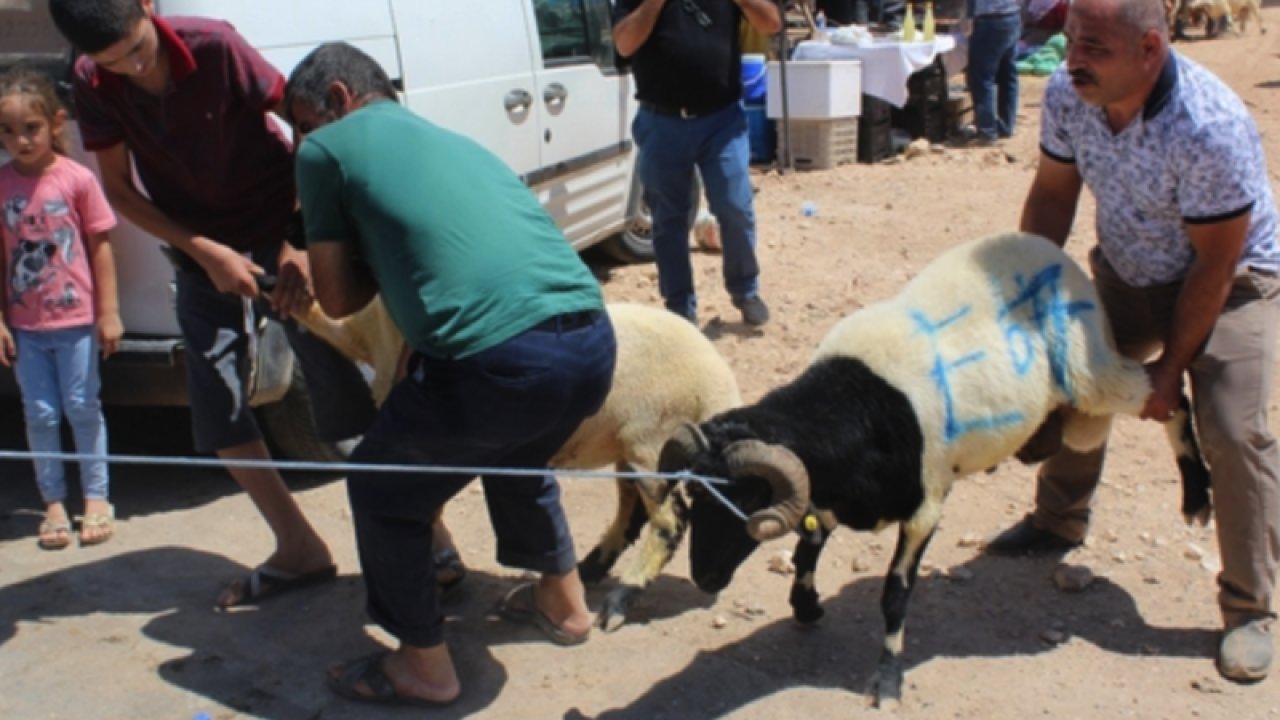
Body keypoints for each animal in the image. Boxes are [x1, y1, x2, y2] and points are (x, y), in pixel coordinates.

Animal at [660, 230, 1208, 707]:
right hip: (1076, 413)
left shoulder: (925, 507)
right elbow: (808, 543)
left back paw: (1197, 498)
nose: (704, 578)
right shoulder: (831, 490)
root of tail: (1050, 249)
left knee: (1170, 396)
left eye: (749, 498)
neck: (853, 404)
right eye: (693, 496)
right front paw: (806, 605)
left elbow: (895, 594)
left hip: (1090, 377)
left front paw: (887, 680)